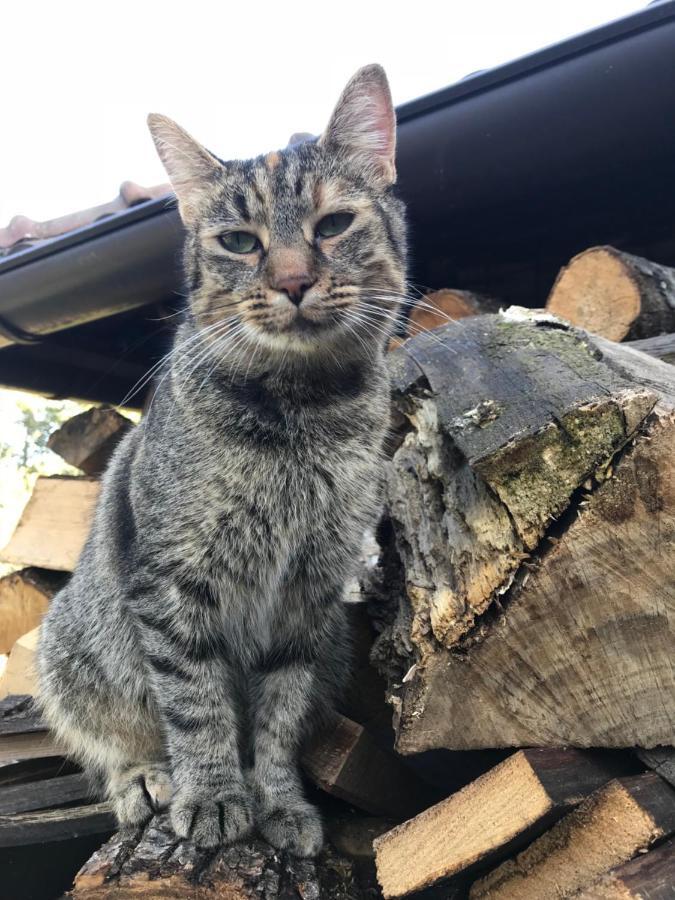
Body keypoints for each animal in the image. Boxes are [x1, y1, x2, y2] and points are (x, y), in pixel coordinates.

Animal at [38, 65, 406, 856]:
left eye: (333, 225)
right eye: (239, 241)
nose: (293, 281)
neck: (302, 412)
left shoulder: (307, 596)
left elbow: (278, 715)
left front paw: (277, 799)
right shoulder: (174, 585)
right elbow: (196, 701)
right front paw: (210, 794)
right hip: (69, 651)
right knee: (113, 740)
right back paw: (147, 778)